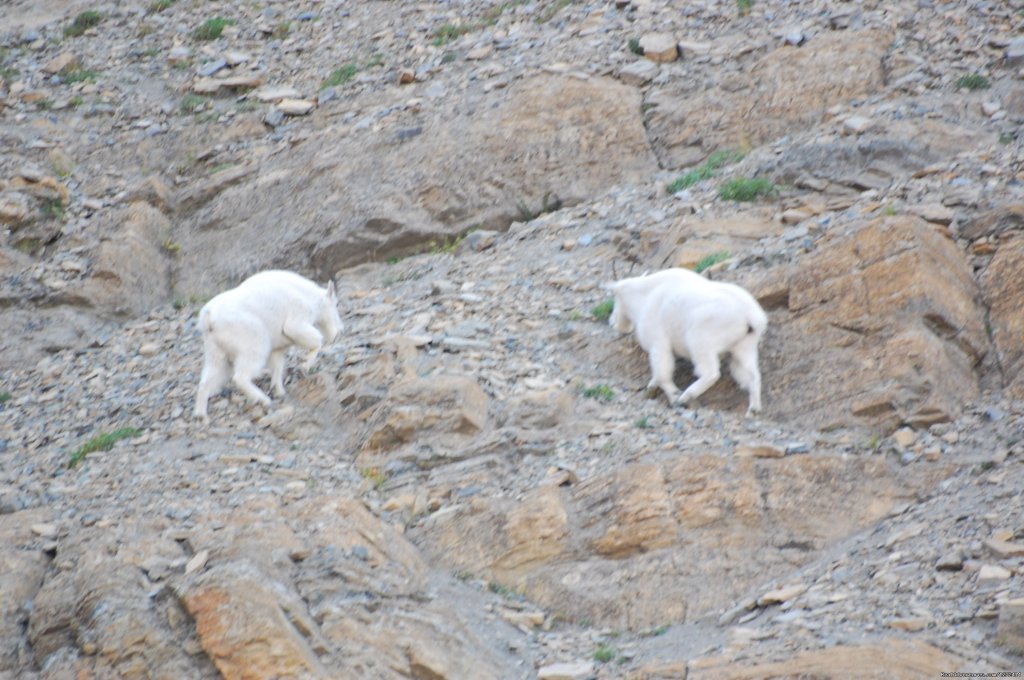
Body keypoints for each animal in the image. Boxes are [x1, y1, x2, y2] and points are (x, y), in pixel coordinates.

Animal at [188, 270, 339, 419]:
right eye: (335, 305)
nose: (336, 333)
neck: (310, 297)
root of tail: (208, 319)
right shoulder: (296, 320)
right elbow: (313, 340)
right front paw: (305, 365)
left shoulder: (278, 346)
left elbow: (278, 366)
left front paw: (279, 390)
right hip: (254, 338)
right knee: (240, 376)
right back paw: (263, 399)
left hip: (215, 350)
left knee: (209, 377)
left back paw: (201, 414)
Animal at [602, 266, 765, 413]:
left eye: (614, 297)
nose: (612, 323)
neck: (645, 297)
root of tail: (751, 317)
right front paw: (651, 386)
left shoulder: (658, 343)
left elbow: (663, 372)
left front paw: (674, 397)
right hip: (745, 345)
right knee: (752, 374)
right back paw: (754, 408)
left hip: (700, 339)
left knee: (711, 372)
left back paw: (686, 396)